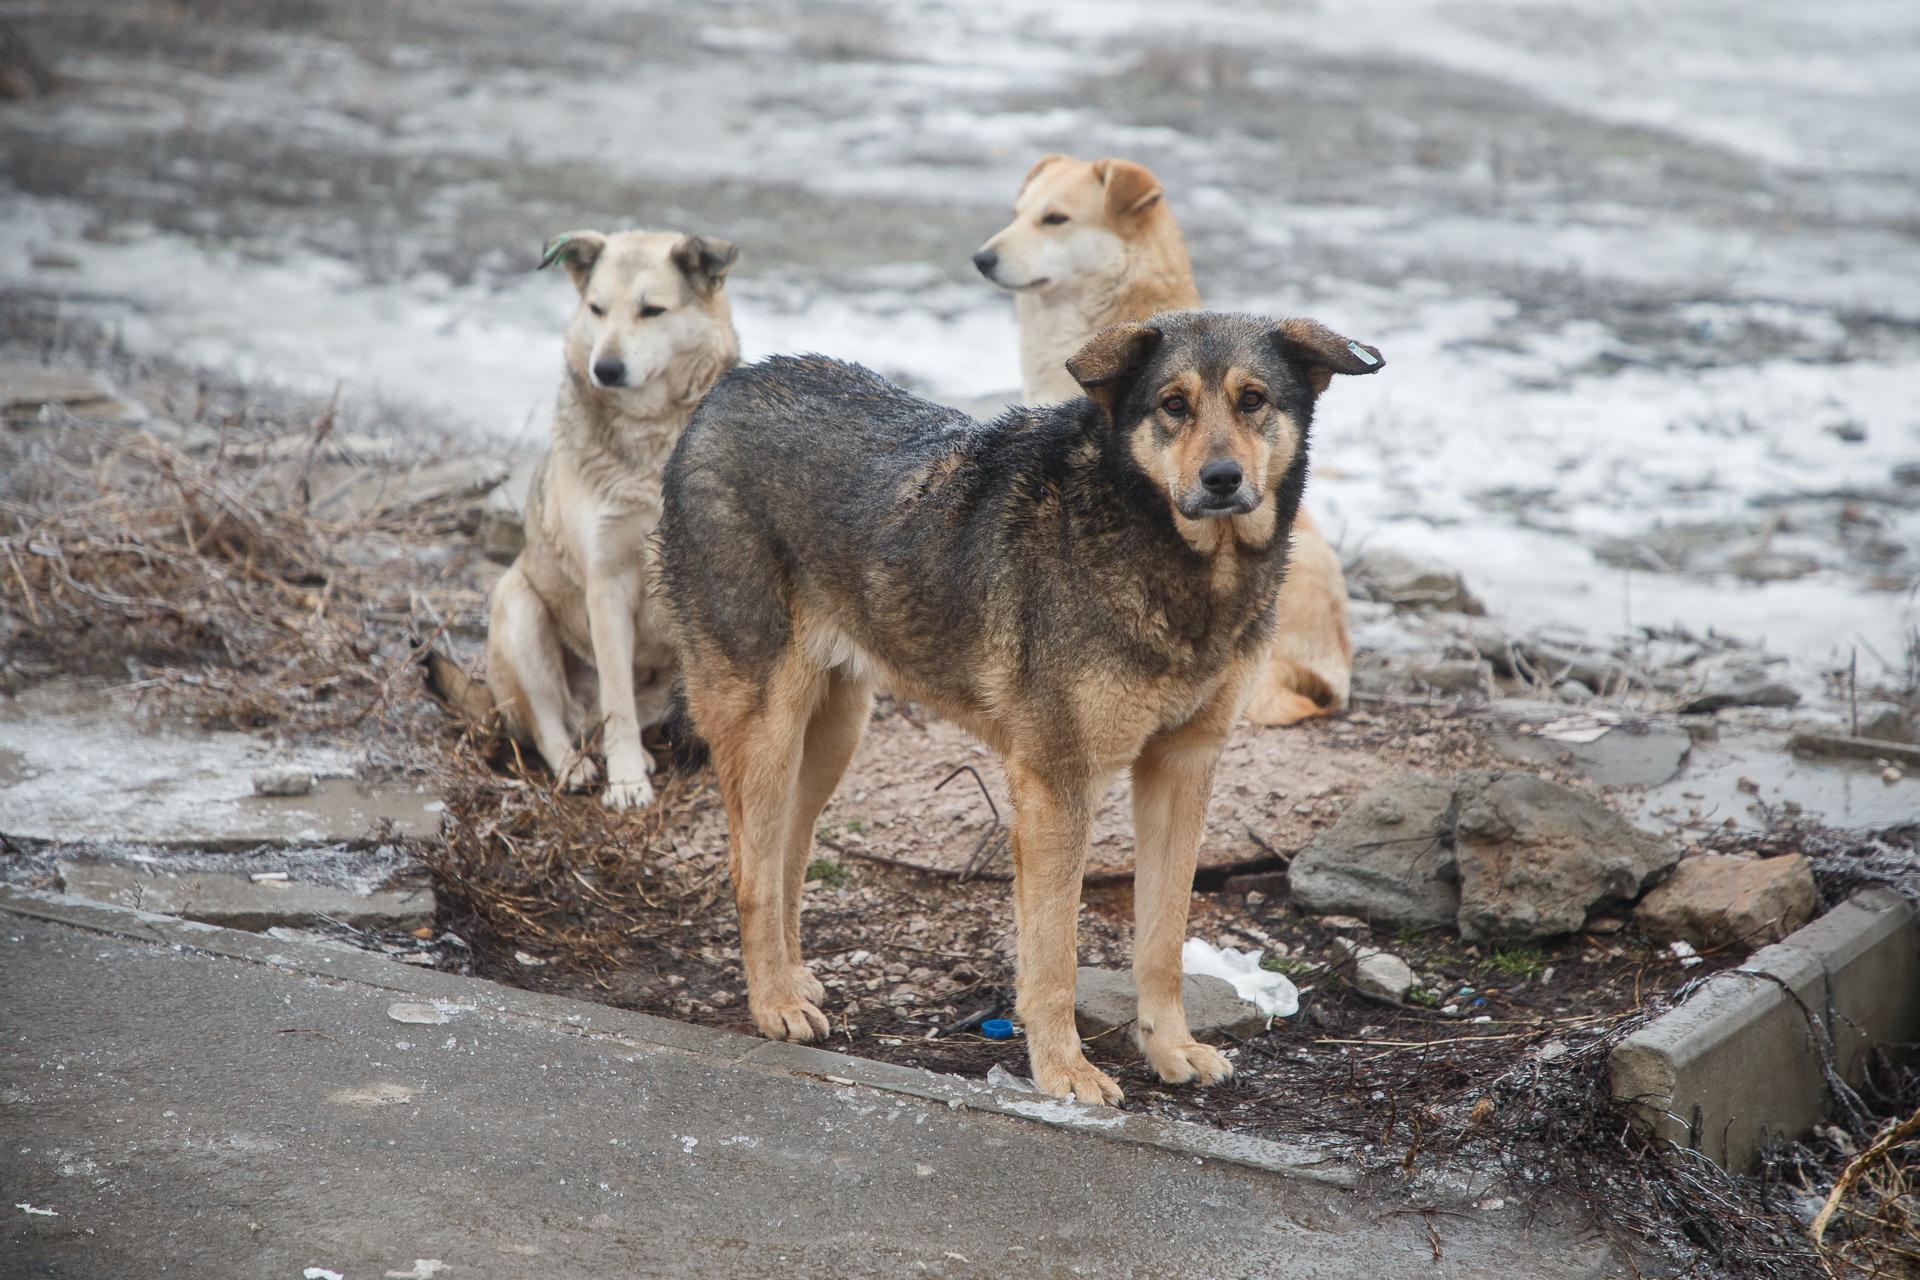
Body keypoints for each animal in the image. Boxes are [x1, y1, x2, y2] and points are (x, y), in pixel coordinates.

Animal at [483, 227, 737, 809]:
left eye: (652, 310)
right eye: (596, 309)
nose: (606, 369)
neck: (650, 440)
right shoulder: (607, 582)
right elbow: (616, 697)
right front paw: (625, 783)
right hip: (518, 606)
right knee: (554, 725)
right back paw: (580, 766)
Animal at [660, 307, 1382, 1105]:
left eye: (1253, 400)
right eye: (1174, 405)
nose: (1221, 479)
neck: (1168, 555)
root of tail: (728, 390)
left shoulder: (1183, 766)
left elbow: (1162, 941)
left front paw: (1171, 1050)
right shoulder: (1056, 781)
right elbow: (1054, 955)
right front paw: (1064, 1071)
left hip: (833, 734)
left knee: (789, 851)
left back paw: (792, 981)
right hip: (766, 723)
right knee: (749, 870)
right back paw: (774, 1004)